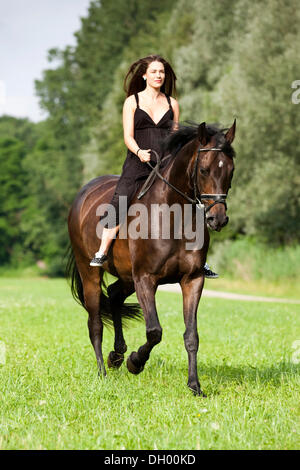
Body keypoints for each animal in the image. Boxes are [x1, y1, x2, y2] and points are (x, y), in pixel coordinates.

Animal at [67, 120, 236, 396]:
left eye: (230, 170)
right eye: (203, 169)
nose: (217, 219)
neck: (174, 215)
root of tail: (83, 193)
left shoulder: (193, 279)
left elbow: (192, 336)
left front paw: (195, 386)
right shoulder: (146, 279)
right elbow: (155, 331)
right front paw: (135, 363)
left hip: (127, 277)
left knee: (114, 294)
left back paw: (116, 355)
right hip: (91, 273)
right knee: (95, 323)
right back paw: (103, 372)